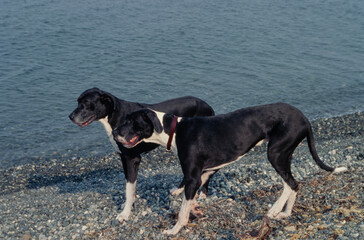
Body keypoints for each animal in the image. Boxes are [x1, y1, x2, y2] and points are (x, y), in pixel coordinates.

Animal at [69, 88, 215, 223]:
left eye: (86, 103)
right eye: (78, 101)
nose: (70, 116)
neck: (116, 115)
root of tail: (208, 105)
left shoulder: (131, 158)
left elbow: (129, 188)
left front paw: (125, 213)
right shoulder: (124, 158)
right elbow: (130, 187)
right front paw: (128, 205)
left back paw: (203, 193)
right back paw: (179, 190)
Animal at [111, 103, 346, 234]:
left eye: (130, 122)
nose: (114, 133)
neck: (174, 130)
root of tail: (304, 118)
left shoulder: (193, 177)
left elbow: (182, 210)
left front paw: (175, 230)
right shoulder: (204, 173)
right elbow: (191, 200)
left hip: (276, 153)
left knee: (290, 184)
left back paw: (274, 210)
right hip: (284, 154)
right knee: (295, 184)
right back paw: (285, 213)